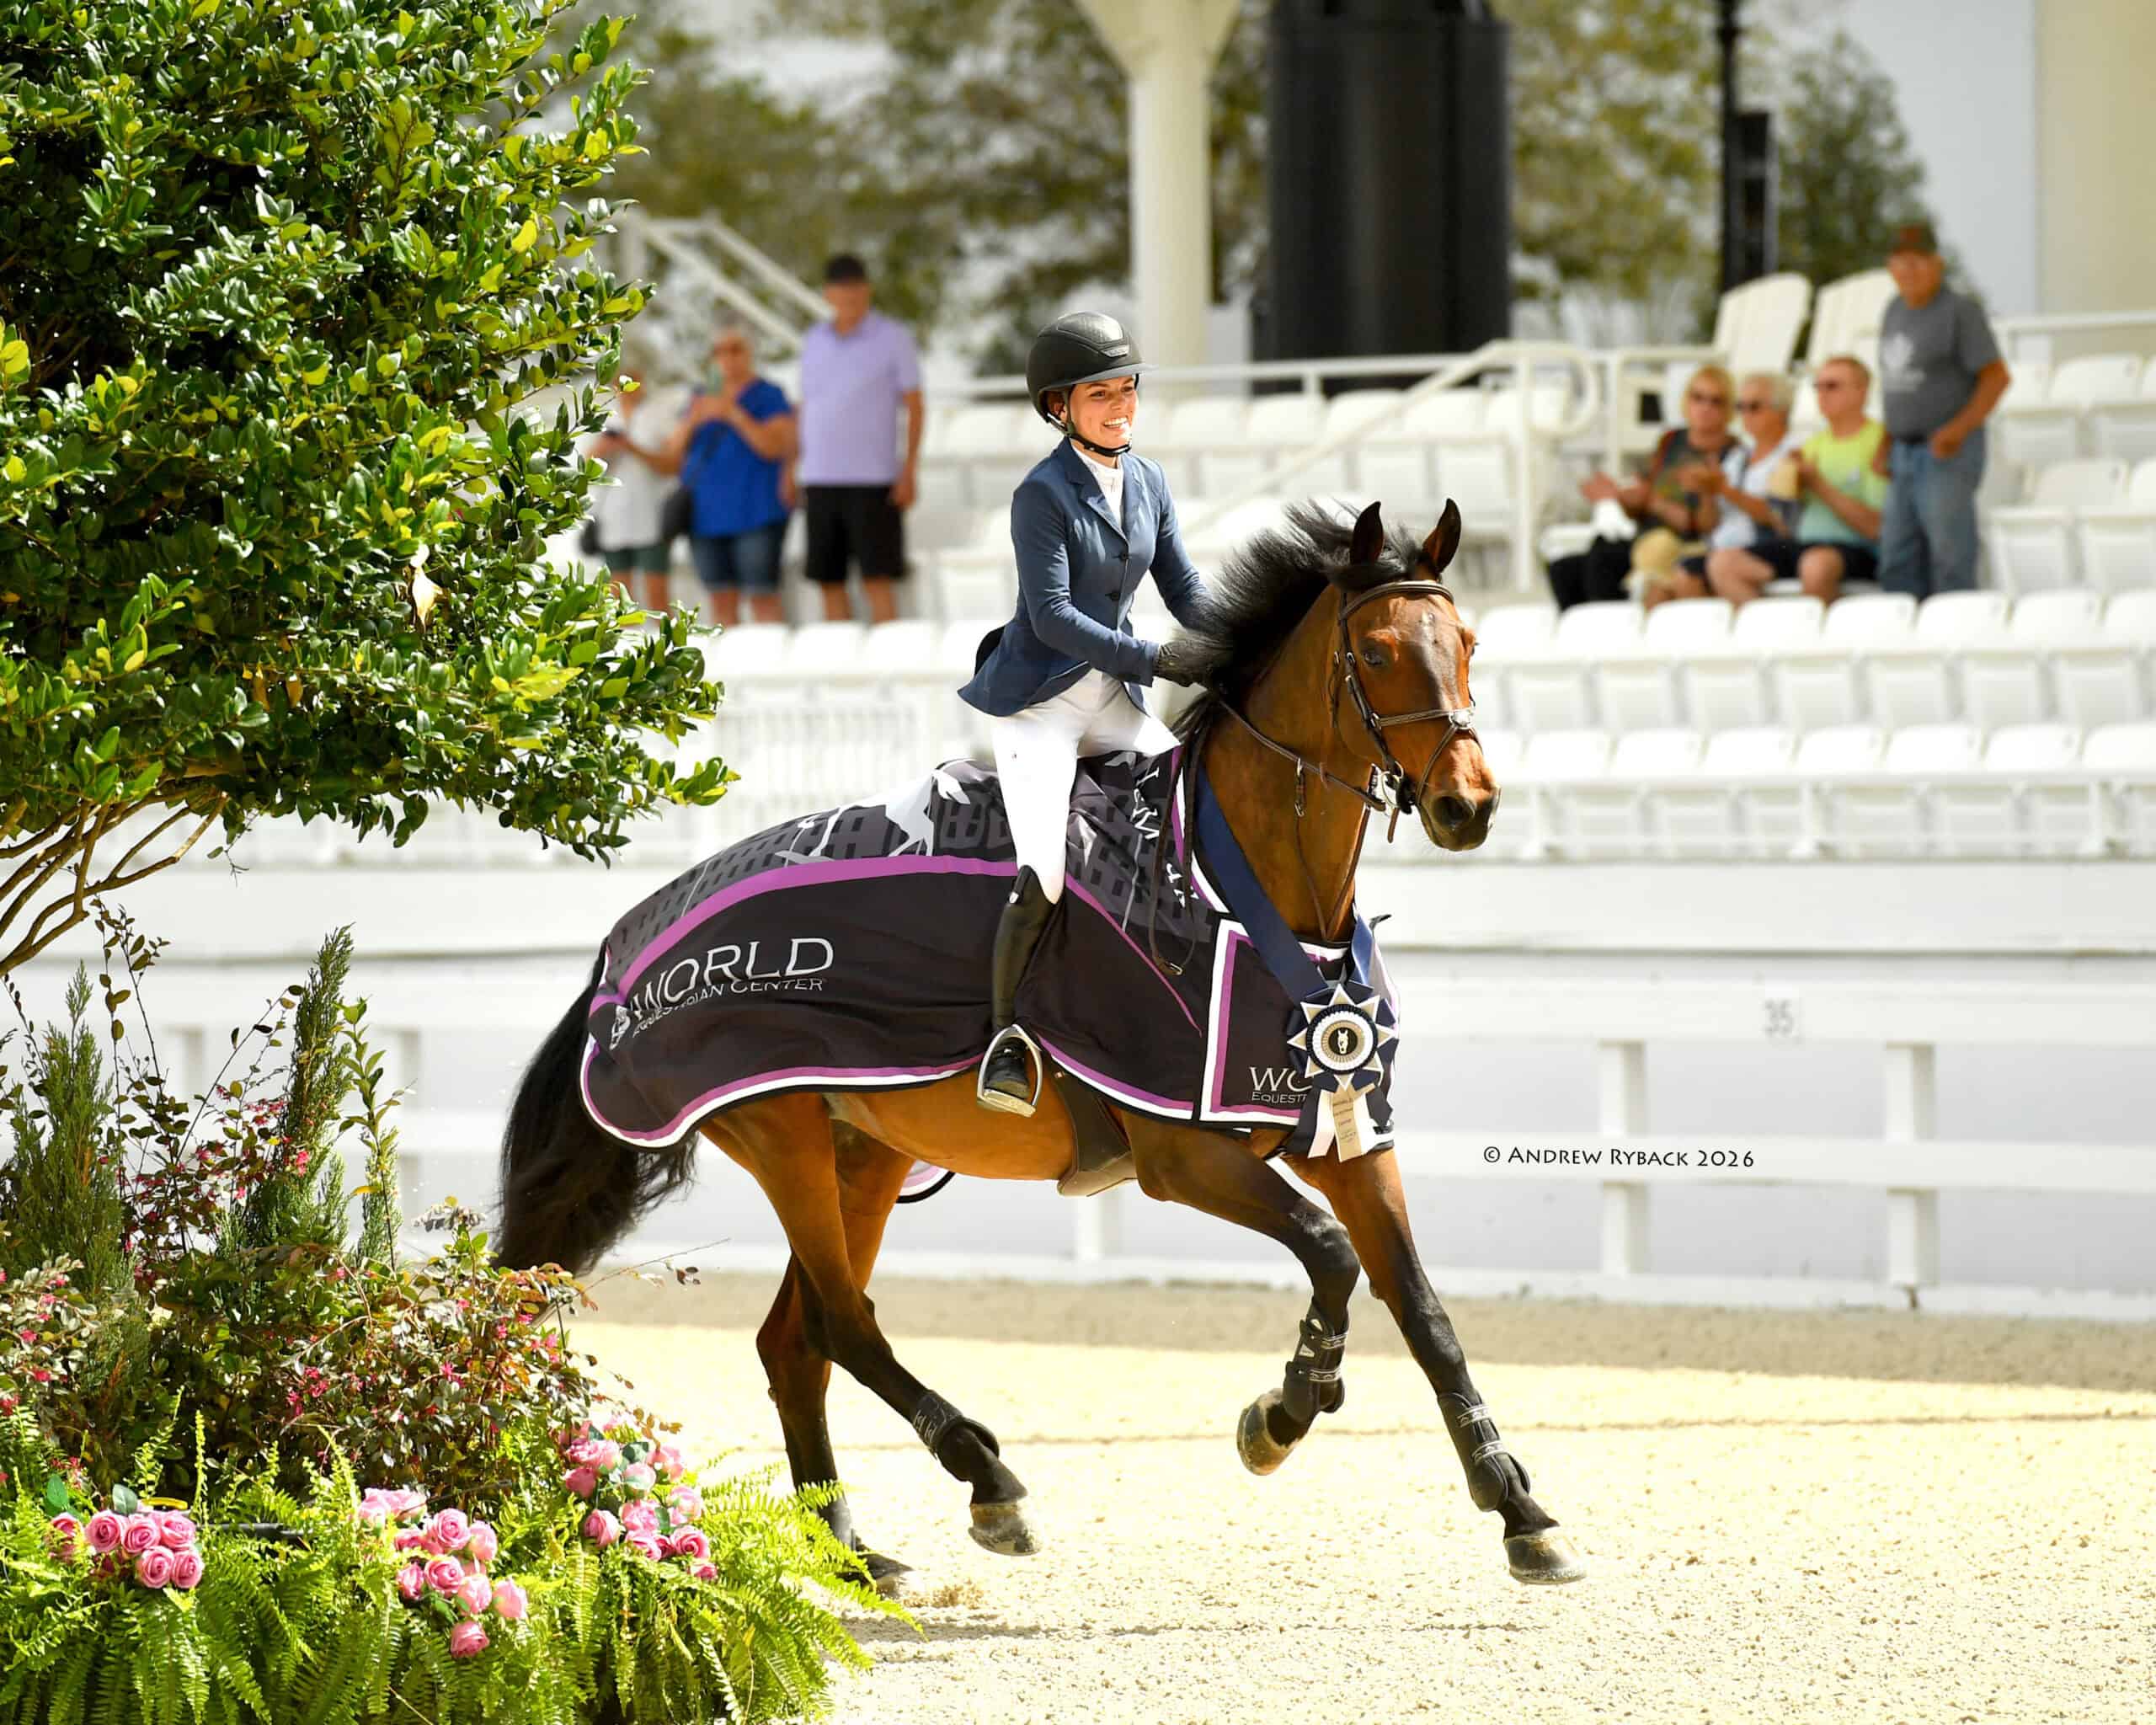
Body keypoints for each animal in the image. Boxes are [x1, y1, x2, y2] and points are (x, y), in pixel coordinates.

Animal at [496, 499, 1586, 1590]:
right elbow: (1329, 1254)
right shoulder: (1183, 1154)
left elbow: (1422, 1310)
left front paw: (1520, 1508)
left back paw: (855, 1553)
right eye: (1375, 651)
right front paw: (1283, 1409)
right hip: (788, 1138)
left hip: (863, 1154)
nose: (1466, 806)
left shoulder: (1347, 1131)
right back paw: (986, 1479)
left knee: (795, 1341)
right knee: (841, 1322)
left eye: (1467, 642)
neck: (1245, 888)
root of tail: (628, 944)